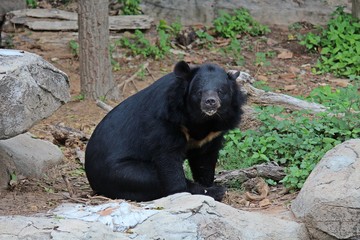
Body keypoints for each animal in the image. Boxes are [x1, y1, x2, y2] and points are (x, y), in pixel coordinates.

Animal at [86, 61, 246, 202]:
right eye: (199, 92)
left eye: (221, 91)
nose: (210, 102)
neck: (202, 119)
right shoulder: (165, 121)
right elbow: (168, 158)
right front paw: (184, 192)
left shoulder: (213, 134)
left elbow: (205, 159)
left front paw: (208, 183)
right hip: (119, 172)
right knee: (150, 178)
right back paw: (217, 191)